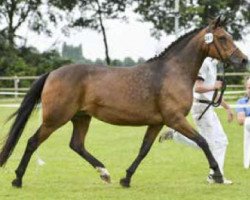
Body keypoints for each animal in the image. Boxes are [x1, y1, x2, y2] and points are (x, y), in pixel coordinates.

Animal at [0, 16, 248, 188]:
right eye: (223, 38)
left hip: (81, 117)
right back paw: (18, 179)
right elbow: (203, 141)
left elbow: (144, 150)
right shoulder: (175, 119)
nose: (244, 60)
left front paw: (126, 178)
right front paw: (217, 174)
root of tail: (52, 73)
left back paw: (105, 173)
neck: (172, 72)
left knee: (76, 145)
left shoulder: (157, 122)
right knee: (32, 142)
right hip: (55, 119)